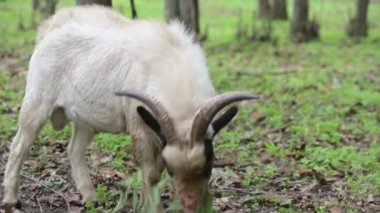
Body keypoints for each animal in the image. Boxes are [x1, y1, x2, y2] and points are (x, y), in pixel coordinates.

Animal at [1, 5, 256, 212]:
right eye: (173, 171)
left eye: (209, 165)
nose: (191, 205)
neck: (169, 62)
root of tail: (48, 27)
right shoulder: (140, 125)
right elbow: (152, 174)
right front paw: (151, 207)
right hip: (37, 101)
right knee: (19, 145)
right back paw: (11, 199)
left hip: (85, 118)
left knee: (74, 150)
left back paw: (91, 199)